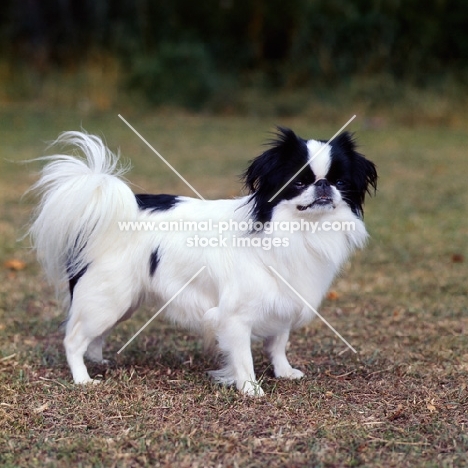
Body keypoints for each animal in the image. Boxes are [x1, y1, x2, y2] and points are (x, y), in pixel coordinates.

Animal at [29, 128, 376, 394]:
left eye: (341, 182)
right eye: (299, 183)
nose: (323, 185)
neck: (300, 230)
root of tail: (107, 214)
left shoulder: (283, 299)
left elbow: (278, 342)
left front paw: (284, 371)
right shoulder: (235, 316)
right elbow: (243, 357)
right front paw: (250, 389)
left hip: (120, 302)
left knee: (92, 335)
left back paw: (97, 361)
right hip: (108, 298)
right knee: (73, 339)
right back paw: (83, 378)